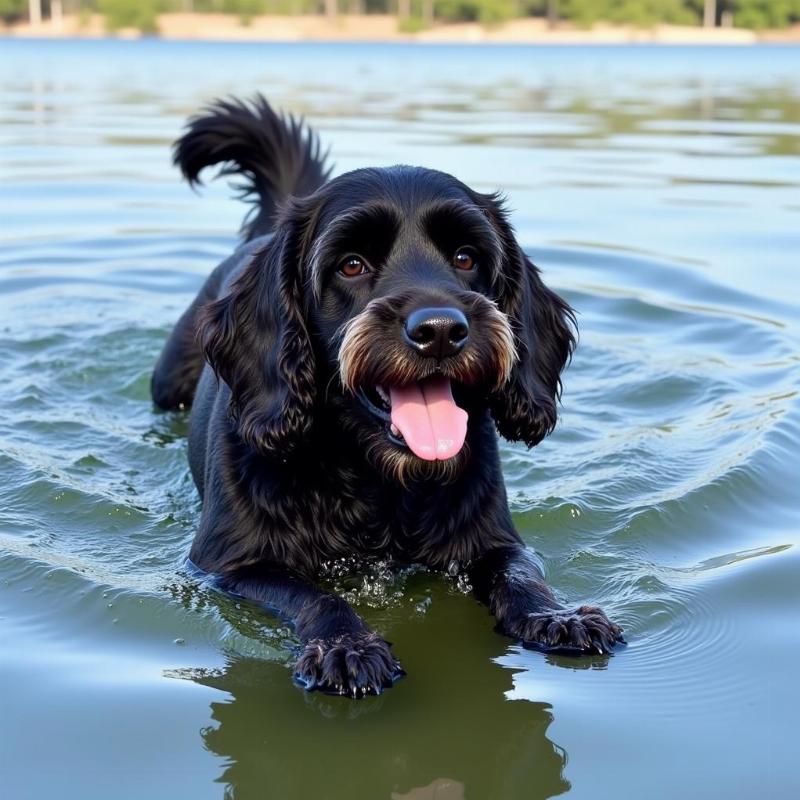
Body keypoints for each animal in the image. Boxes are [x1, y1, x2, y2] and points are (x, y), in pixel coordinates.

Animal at [152, 97, 624, 696]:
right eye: (351, 264)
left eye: (466, 257)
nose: (441, 330)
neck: (377, 482)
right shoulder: (225, 567)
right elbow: (311, 595)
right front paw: (346, 646)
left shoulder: (493, 540)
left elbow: (522, 573)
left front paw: (555, 616)